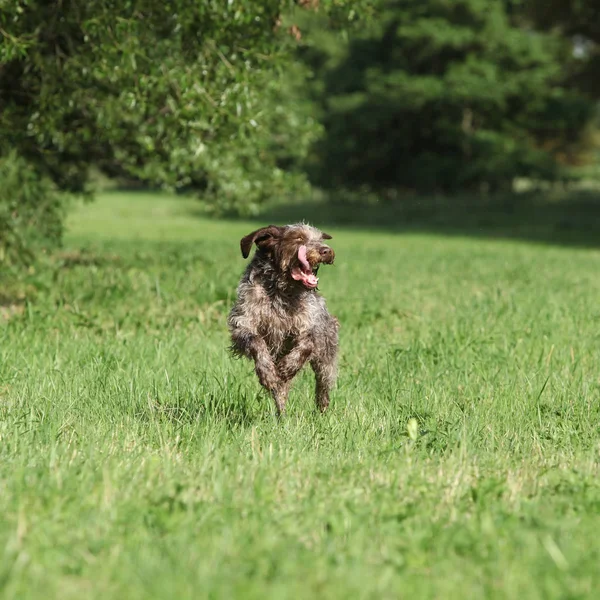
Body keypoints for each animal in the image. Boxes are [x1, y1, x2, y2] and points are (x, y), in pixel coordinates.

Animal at [226, 223, 338, 414]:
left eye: (319, 239)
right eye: (299, 238)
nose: (326, 250)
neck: (280, 290)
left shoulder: (310, 327)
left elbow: (307, 344)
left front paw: (289, 366)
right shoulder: (242, 324)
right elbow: (256, 341)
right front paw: (267, 373)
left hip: (326, 354)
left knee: (323, 383)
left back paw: (321, 408)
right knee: (280, 392)